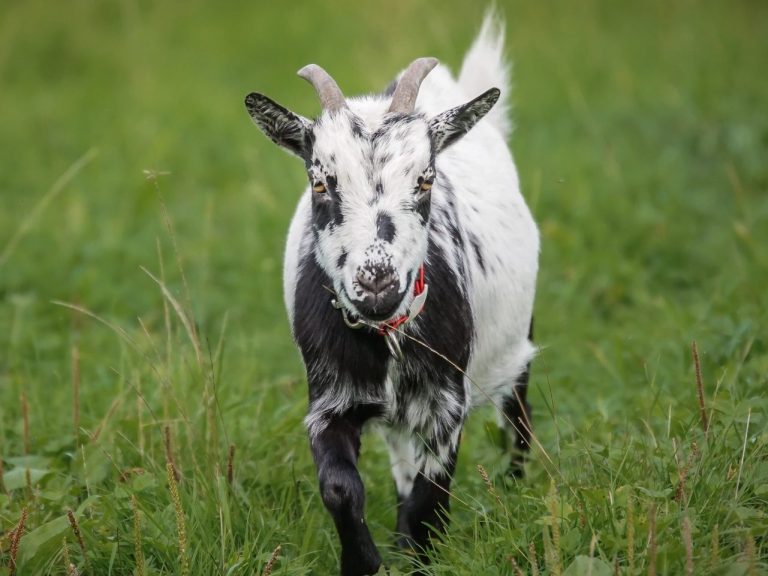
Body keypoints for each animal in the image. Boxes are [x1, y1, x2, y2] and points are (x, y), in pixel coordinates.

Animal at [244, 14, 538, 576]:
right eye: (321, 182)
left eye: (425, 180)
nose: (375, 280)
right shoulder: (330, 399)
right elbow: (341, 490)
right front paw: (367, 561)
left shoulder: (445, 403)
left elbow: (432, 496)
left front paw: (420, 557)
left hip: (518, 343)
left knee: (519, 412)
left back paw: (520, 491)